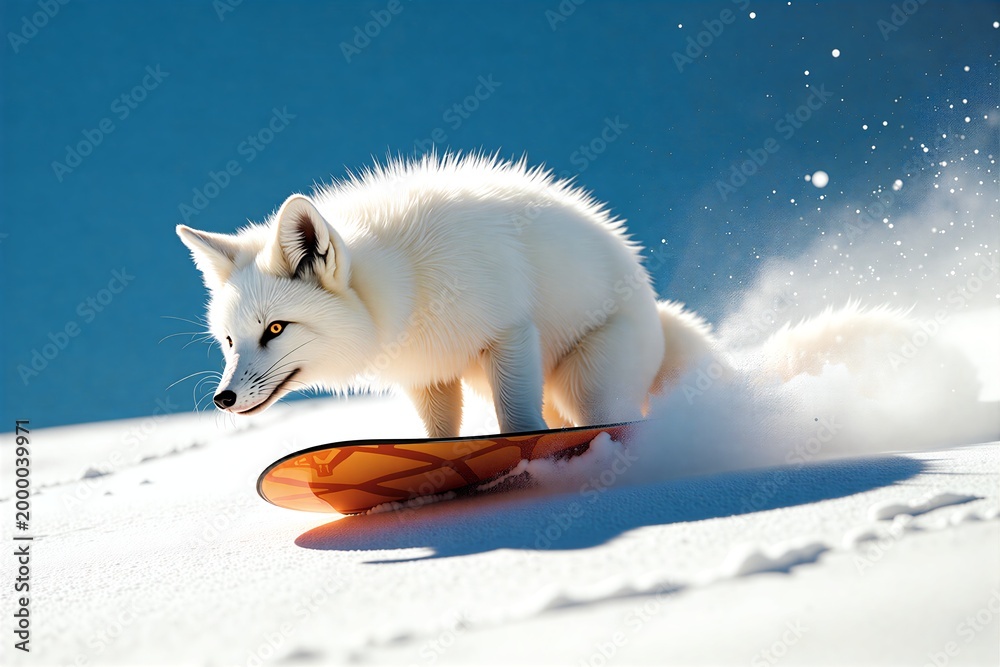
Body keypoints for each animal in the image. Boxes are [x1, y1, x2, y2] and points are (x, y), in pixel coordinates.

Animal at [177, 153, 719, 437]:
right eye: (229, 341)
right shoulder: (430, 376)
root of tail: (650, 298)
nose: (222, 398)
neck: (408, 287)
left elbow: (518, 425)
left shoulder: (509, 333)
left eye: (275, 328)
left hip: (593, 389)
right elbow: (440, 439)